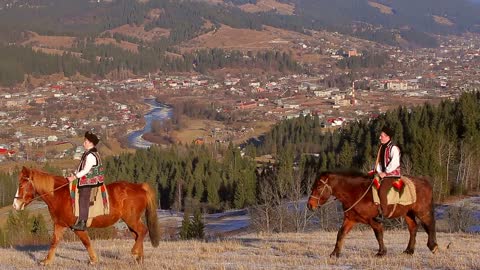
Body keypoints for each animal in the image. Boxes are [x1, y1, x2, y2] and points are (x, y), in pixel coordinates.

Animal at [11, 166, 160, 264]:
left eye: (21, 185)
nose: (15, 205)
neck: (60, 195)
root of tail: (140, 187)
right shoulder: (60, 225)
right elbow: (54, 242)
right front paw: (46, 261)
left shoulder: (77, 227)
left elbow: (86, 242)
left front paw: (93, 260)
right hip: (131, 221)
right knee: (137, 235)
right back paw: (139, 259)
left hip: (131, 219)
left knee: (142, 231)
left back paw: (135, 253)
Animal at [308, 171, 438, 258]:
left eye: (318, 187)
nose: (310, 205)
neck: (355, 193)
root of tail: (425, 183)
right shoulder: (350, 219)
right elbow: (341, 234)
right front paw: (335, 253)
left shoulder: (373, 220)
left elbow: (378, 234)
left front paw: (381, 252)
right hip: (408, 213)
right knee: (413, 228)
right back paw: (409, 251)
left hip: (422, 211)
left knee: (430, 224)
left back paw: (433, 246)